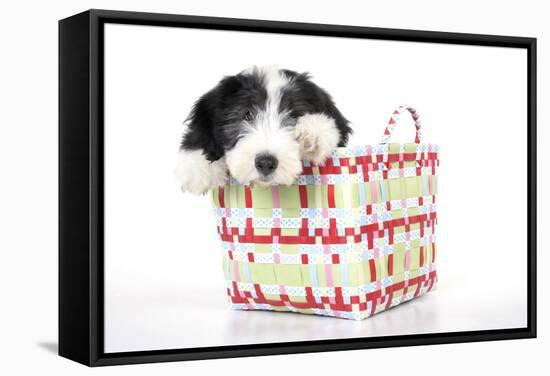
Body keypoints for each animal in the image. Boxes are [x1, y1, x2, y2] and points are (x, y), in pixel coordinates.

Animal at [176, 65, 354, 194]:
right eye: (247, 114)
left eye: (294, 116)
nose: (266, 163)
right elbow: (201, 129)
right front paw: (197, 168)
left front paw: (312, 132)